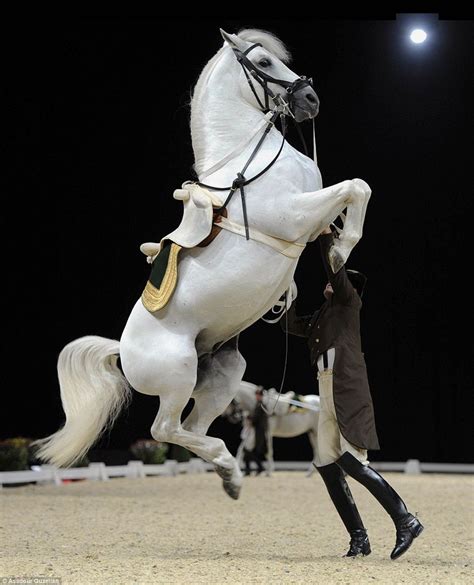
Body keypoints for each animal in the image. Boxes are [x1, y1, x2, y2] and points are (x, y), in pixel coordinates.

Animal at [35, 29, 372, 500]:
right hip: (177, 376)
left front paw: (337, 248)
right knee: (164, 429)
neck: (249, 163)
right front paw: (343, 249)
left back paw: (229, 475)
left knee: (192, 428)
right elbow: (356, 187)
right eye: (264, 62)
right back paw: (228, 466)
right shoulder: (292, 216)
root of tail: (122, 350)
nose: (309, 99)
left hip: (224, 374)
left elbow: (354, 190)